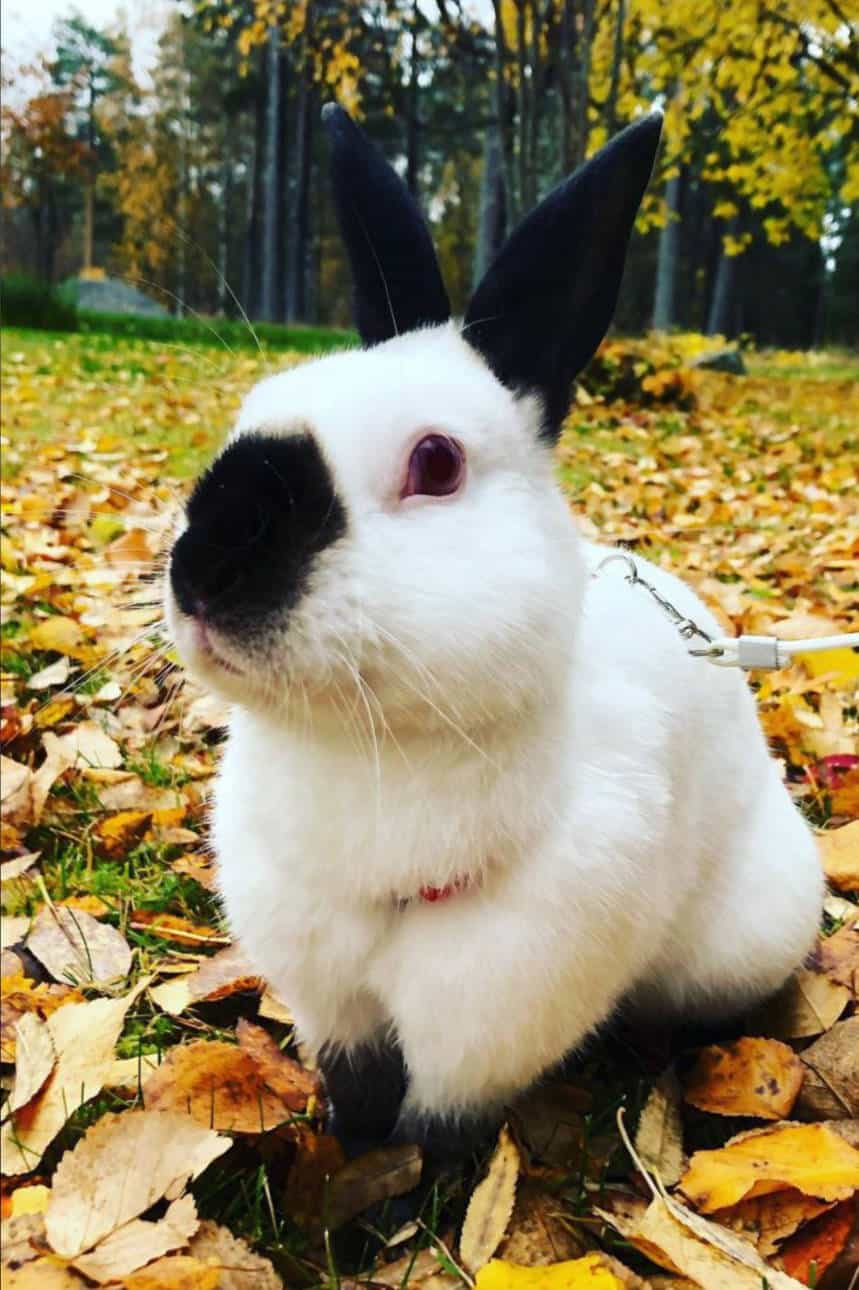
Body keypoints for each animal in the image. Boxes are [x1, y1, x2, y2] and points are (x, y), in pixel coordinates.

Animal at [163, 105, 820, 1155]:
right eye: (253, 411)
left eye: (436, 463)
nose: (204, 572)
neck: (367, 752)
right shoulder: (330, 992)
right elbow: (355, 1084)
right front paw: (352, 1147)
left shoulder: (490, 1008)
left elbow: (439, 1117)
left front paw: (406, 1180)